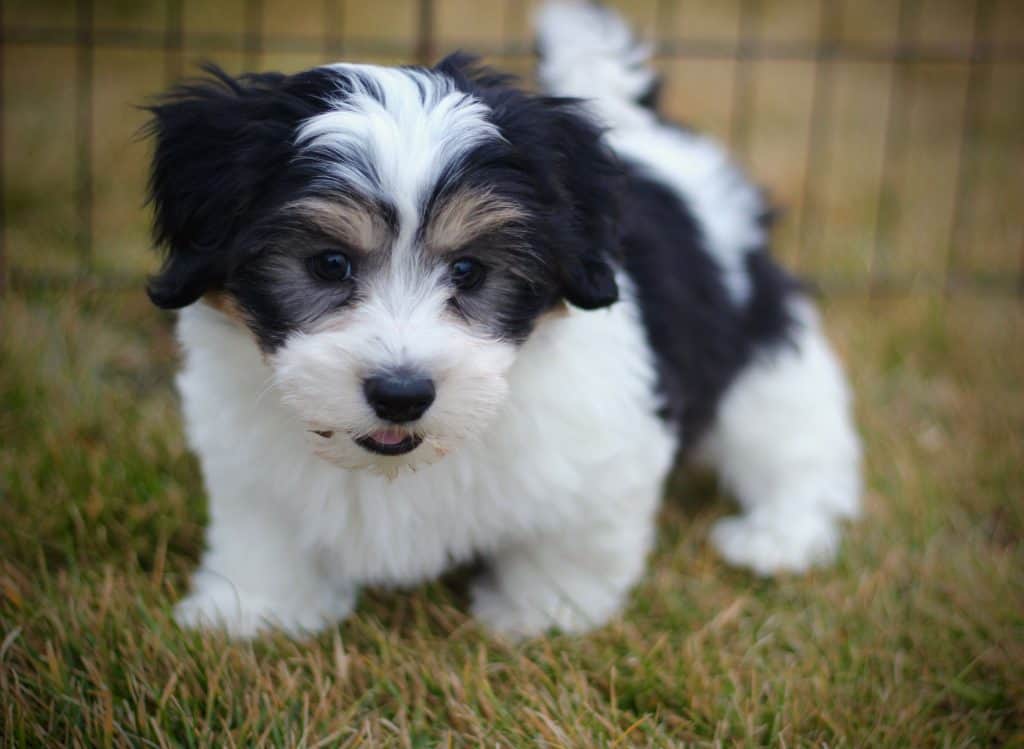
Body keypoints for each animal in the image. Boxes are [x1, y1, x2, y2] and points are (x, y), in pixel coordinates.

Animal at [144, 2, 860, 643]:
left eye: (468, 271)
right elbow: (265, 530)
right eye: (328, 264)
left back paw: (780, 534)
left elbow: (571, 537)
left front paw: (542, 612)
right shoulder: (249, 461)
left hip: (761, 351)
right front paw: (252, 610)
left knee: (791, 440)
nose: (401, 395)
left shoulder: (602, 452)